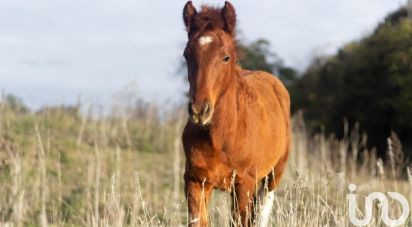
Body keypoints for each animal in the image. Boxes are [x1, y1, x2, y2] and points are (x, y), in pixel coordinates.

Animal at [182, 2, 292, 227]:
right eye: (186, 55)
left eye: (226, 57)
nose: (199, 110)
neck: (221, 136)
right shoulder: (195, 181)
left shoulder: (244, 183)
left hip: (273, 176)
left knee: (262, 212)